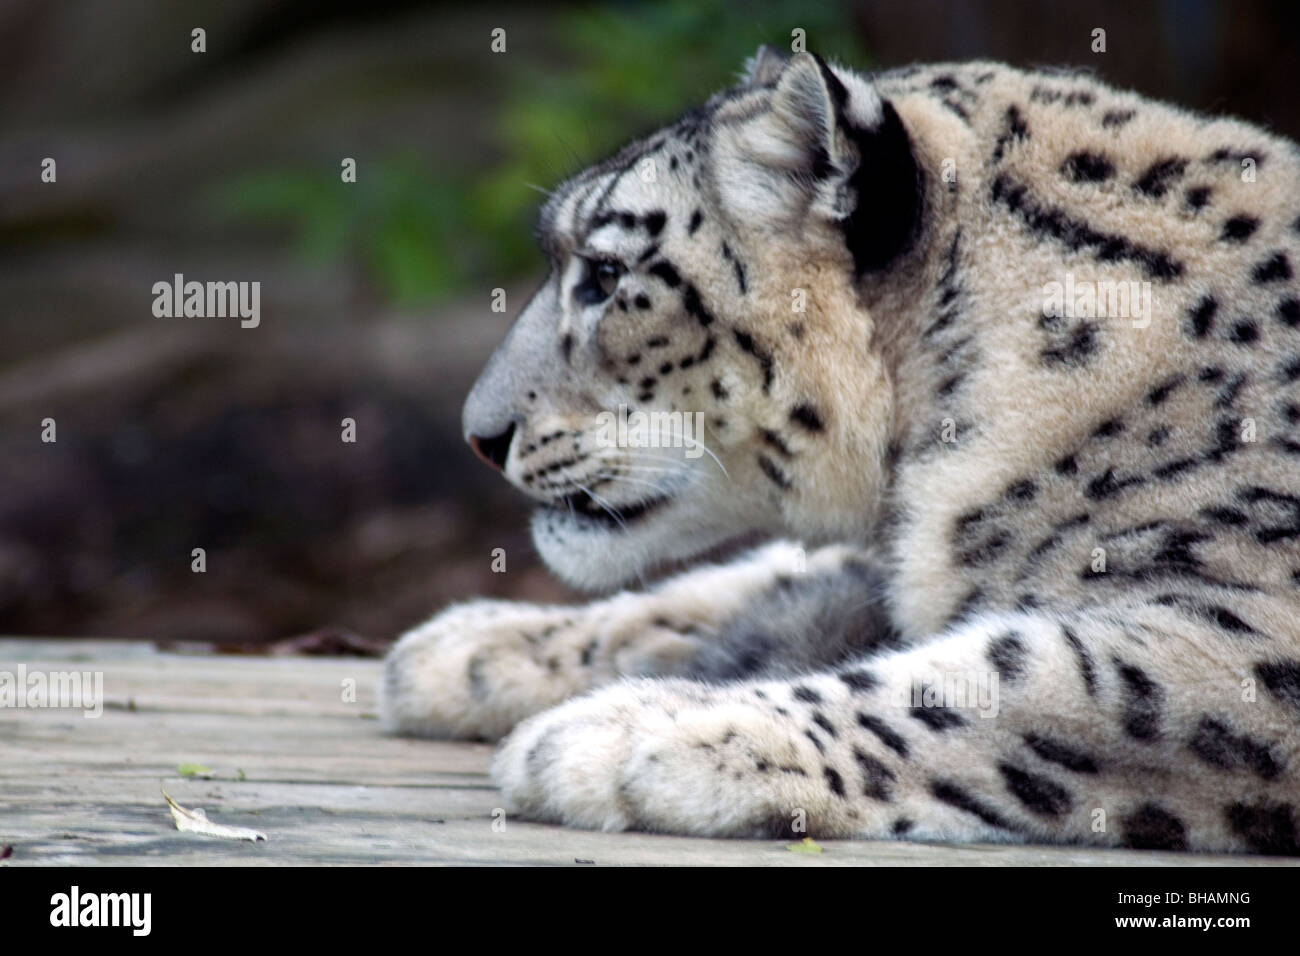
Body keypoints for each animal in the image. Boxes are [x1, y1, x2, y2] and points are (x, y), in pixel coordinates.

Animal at [379, 46, 1300, 853]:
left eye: (606, 276)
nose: (480, 435)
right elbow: (762, 585)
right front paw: (469, 649)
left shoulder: (1250, 630)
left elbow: (1007, 676)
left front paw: (631, 731)